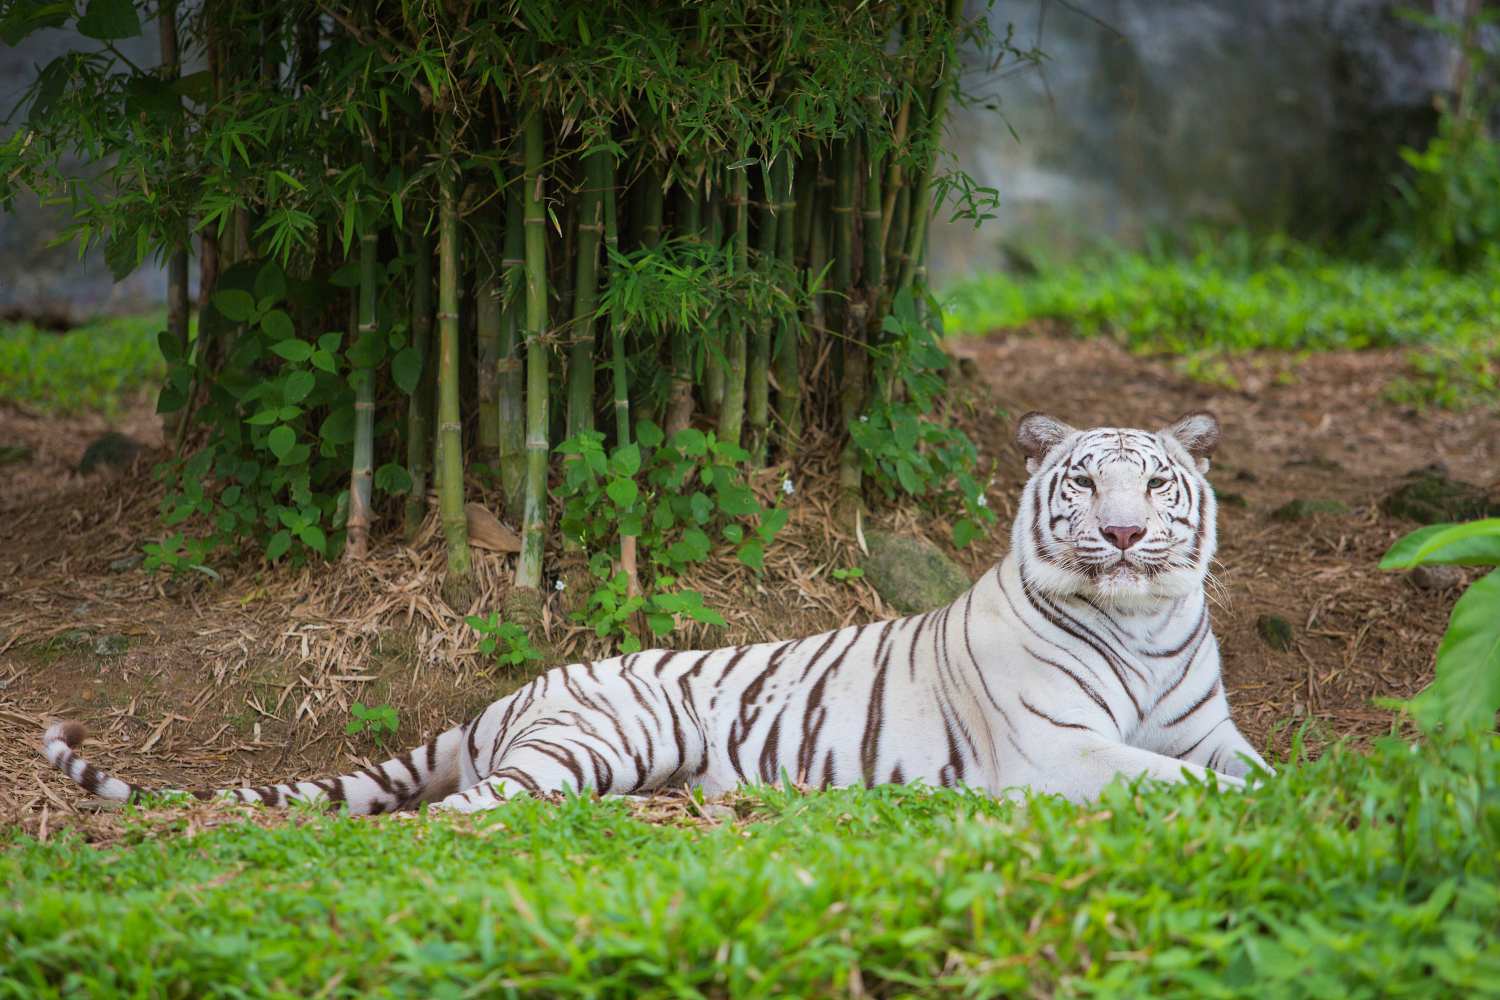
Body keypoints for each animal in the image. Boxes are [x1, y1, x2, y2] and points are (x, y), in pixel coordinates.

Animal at [42, 410, 1270, 814]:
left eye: (1157, 486)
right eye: (1085, 483)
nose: (1123, 536)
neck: (1144, 624)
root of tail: (507, 695)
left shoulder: (1208, 727)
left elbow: (1256, 768)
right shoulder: (1061, 751)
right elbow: (1177, 783)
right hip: (599, 739)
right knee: (461, 810)